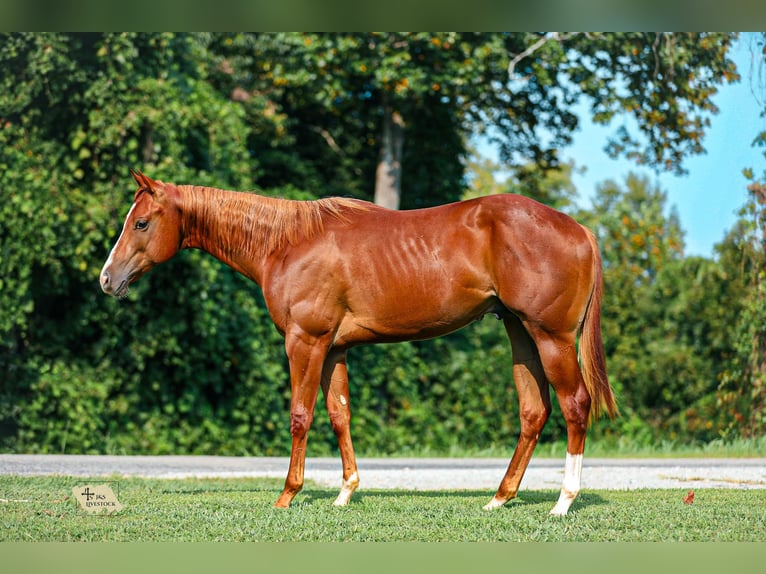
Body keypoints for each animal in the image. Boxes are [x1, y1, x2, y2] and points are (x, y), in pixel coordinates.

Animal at [100, 170, 617, 515]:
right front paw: (345, 491)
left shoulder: (305, 342)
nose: (107, 279)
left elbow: (301, 415)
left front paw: (288, 494)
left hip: (550, 337)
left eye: (141, 223)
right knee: (534, 412)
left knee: (575, 405)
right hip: (519, 333)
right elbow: (339, 414)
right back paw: (499, 498)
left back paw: (563, 503)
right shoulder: (334, 349)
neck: (286, 244)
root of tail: (580, 230)